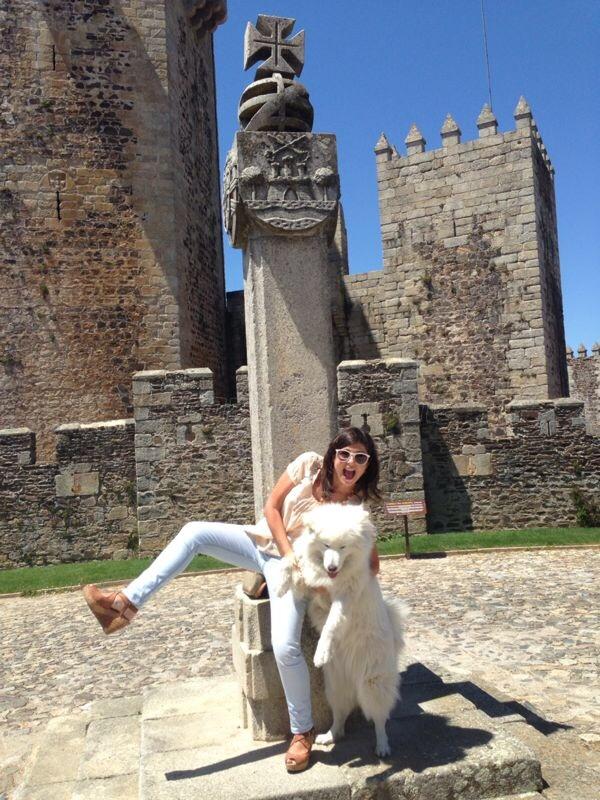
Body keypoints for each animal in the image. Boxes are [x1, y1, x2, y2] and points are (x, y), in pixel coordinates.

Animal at [274, 503, 408, 757]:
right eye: (326, 545)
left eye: (343, 546)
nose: (332, 567)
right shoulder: (309, 583)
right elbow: (291, 562)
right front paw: (280, 584)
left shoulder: (344, 598)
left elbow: (331, 625)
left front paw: (320, 653)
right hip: (335, 686)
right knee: (340, 714)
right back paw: (330, 735)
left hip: (372, 683)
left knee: (379, 718)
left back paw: (382, 746)